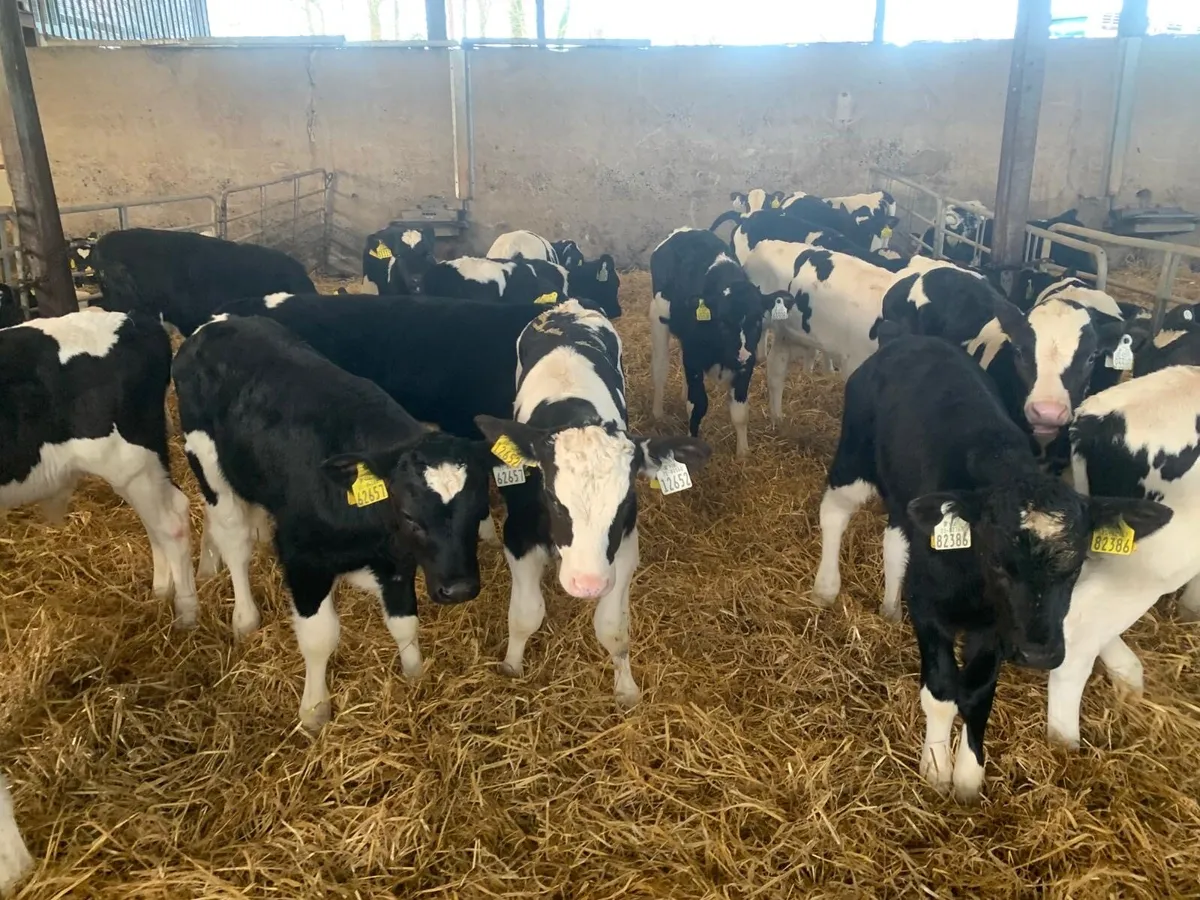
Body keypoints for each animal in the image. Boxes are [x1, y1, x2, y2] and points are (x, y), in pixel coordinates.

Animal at [174, 314, 492, 729]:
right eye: (409, 514)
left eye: (481, 508)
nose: (460, 589)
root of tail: (215, 323)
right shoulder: (302, 559)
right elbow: (319, 636)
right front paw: (314, 709)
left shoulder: (396, 561)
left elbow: (405, 622)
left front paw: (414, 676)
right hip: (208, 464)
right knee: (234, 540)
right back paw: (244, 615)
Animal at [474, 301, 711, 707]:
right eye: (552, 499)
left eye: (626, 500)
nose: (587, 583)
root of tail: (569, 305)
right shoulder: (517, 535)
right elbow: (525, 614)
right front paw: (511, 665)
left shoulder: (625, 547)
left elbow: (613, 628)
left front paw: (626, 688)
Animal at [648, 228, 792, 456]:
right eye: (723, 321)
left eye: (757, 320)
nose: (741, 355)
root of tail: (684, 231)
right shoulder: (694, 358)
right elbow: (698, 405)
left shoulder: (746, 367)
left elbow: (740, 411)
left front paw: (743, 452)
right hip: (658, 318)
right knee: (660, 369)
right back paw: (658, 412)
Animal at [811, 334, 1168, 801]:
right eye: (998, 560)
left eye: (1076, 565)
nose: (1039, 652)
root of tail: (910, 340)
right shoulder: (930, 609)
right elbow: (942, 691)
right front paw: (935, 767)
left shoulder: (998, 629)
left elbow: (978, 693)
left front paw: (968, 776)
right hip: (853, 455)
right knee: (835, 512)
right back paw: (826, 586)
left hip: (906, 500)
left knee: (895, 538)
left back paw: (888, 607)